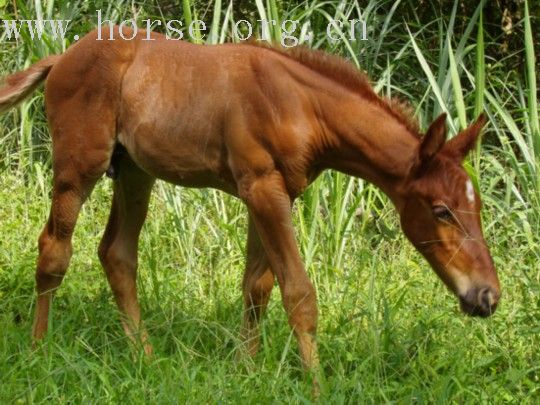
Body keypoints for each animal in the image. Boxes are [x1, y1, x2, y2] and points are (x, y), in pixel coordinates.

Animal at [0, 26, 500, 370]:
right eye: (442, 210)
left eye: (476, 207)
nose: (487, 296)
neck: (302, 106)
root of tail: (63, 56)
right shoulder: (262, 188)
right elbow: (299, 293)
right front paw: (315, 384)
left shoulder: (276, 193)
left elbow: (257, 287)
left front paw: (248, 369)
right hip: (79, 166)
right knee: (54, 249)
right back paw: (40, 350)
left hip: (134, 172)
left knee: (117, 253)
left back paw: (144, 356)